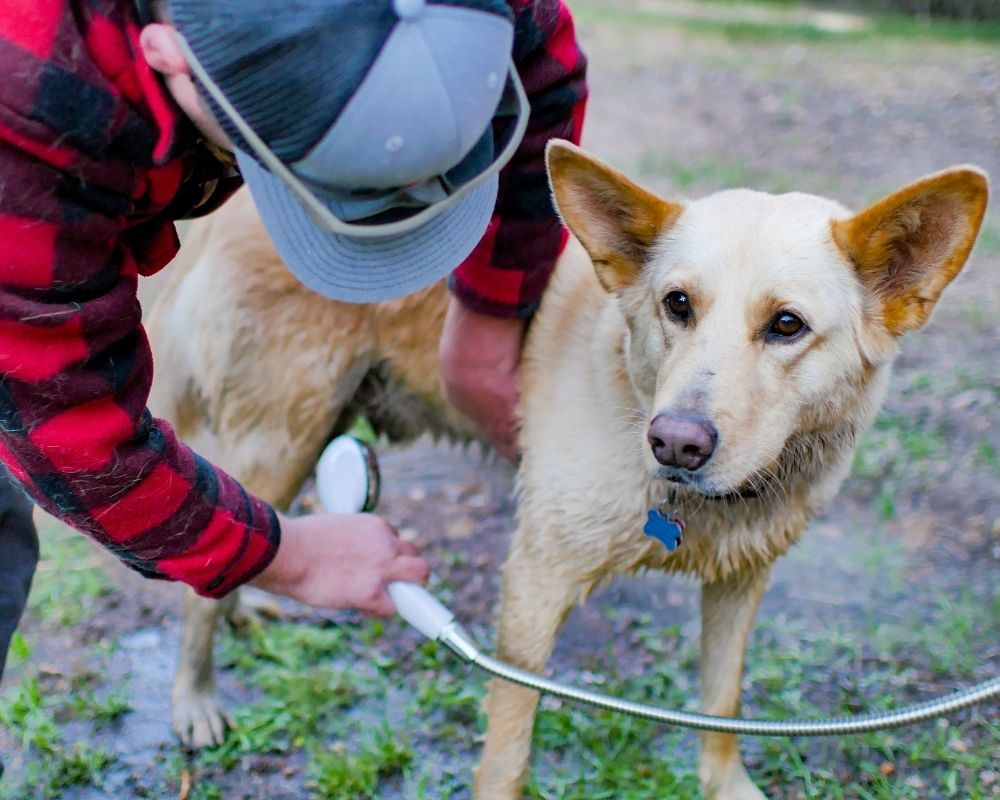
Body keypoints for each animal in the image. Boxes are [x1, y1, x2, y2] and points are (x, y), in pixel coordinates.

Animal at [146, 141, 984, 796]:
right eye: (677, 304)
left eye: (787, 325)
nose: (675, 442)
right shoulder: (534, 587)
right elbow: (507, 754)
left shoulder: (741, 582)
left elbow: (721, 706)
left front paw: (726, 786)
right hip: (286, 436)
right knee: (204, 565)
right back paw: (192, 699)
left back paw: (250, 608)